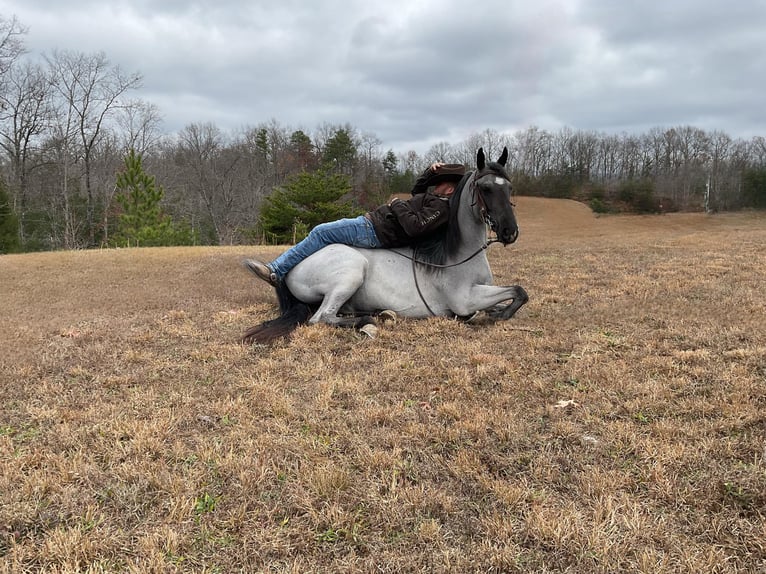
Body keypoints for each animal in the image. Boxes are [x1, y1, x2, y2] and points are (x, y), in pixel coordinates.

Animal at [243, 148, 532, 346]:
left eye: (509, 188)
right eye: (485, 188)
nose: (510, 232)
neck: (459, 255)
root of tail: (289, 274)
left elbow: (518, 292)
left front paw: (499, 312)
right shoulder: (465, 299)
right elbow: (518, 291)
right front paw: (500, 315)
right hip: (351, 271)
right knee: (321, 318)